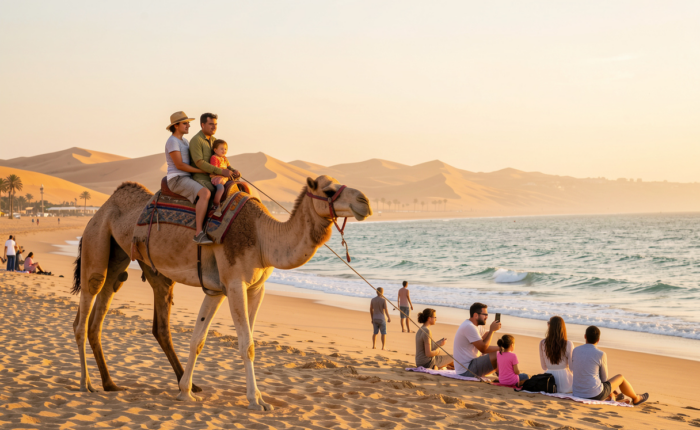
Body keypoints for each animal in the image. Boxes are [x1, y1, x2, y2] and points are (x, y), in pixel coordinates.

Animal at [72, 175, 372, 410]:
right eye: (329, 190)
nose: (365, 202)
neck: (263, 237)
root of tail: (100, 210)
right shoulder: (235, 284)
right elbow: (247, 344)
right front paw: (256, 400)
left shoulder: (239, 289)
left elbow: (199, 340)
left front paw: (186, 391)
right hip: (96, 242)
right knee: (84, 314)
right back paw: (87, 383)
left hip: (120, 258)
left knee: (105, 312)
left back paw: (110, 383)